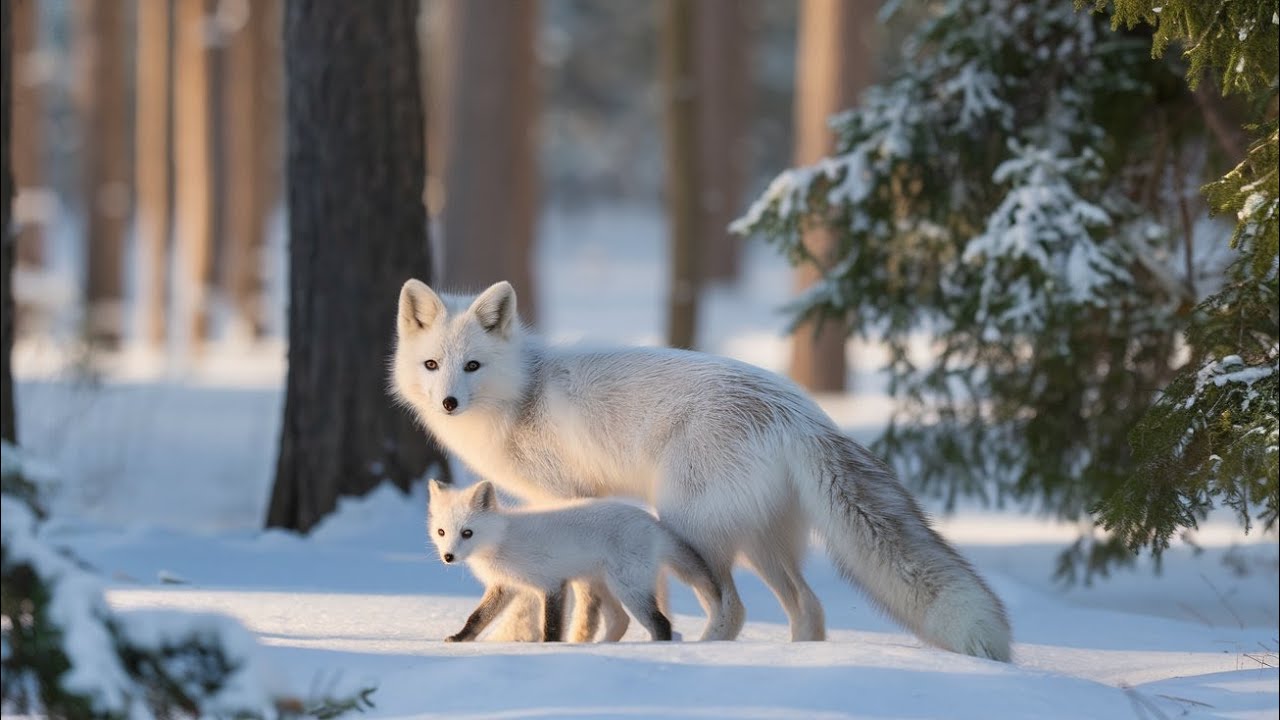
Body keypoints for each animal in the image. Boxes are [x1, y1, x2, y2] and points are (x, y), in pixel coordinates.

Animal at [427, 479, 722, 642]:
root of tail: (652, 522)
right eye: (441, 532)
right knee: (621, 621)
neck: (502, 539)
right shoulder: (504, 587)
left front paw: (552, 650)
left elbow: (552, 626)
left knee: (662, 624)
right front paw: (460, 639)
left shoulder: (552, 584)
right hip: (602, 584)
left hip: (629, 588)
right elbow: (477, 618)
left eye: (467, 533)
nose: (448, 556)